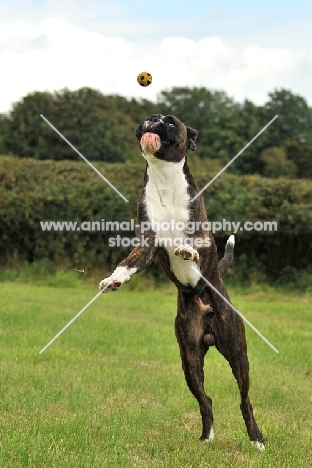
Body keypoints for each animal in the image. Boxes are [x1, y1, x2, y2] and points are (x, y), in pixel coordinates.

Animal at [100, 113, 266, 450]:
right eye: (152, 117)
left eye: (170, 123)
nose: (152, 119)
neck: (164, 178)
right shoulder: (146, 244)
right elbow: (128, 263)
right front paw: (114, 280)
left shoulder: (204, 236)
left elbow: (196, 246)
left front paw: (187, 250)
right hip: (189, 360)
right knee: (206, 400)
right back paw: (207, 437)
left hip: (238, 354)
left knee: (245, 400)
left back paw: (256, 440)